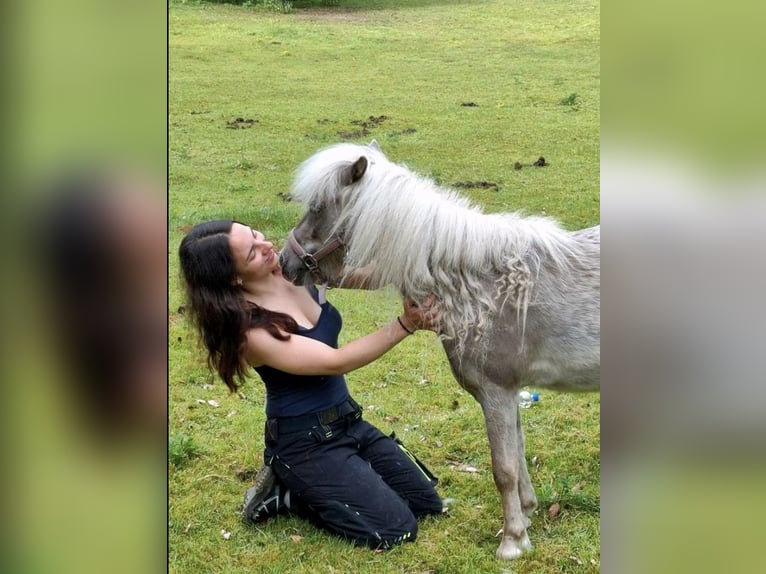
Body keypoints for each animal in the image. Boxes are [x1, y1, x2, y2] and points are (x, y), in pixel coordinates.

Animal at [278, 141, 600, 564]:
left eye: (318, 207)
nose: (284, 261)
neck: (480, 287)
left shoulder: (496, 392)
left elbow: (504, 469)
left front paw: (512, 541)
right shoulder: (510, 392)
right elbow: (518, 453)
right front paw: (528, 515)